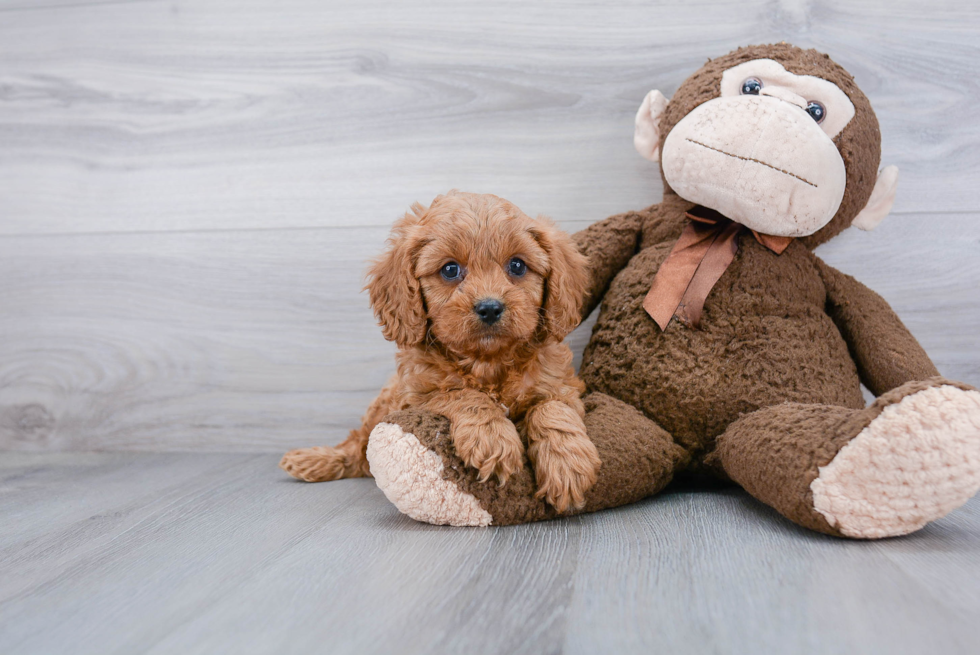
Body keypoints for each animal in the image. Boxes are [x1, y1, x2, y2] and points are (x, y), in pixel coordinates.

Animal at [280, 190, 600, 512]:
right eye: (450, 270)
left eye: (518, 266)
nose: (490, 307)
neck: (488, 361)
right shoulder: (417, 396)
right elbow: (462, 394)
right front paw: (492, 437)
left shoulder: (560, 385)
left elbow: (553, 410)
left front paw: (568, 465)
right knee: (357, 446)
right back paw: (317, 460)